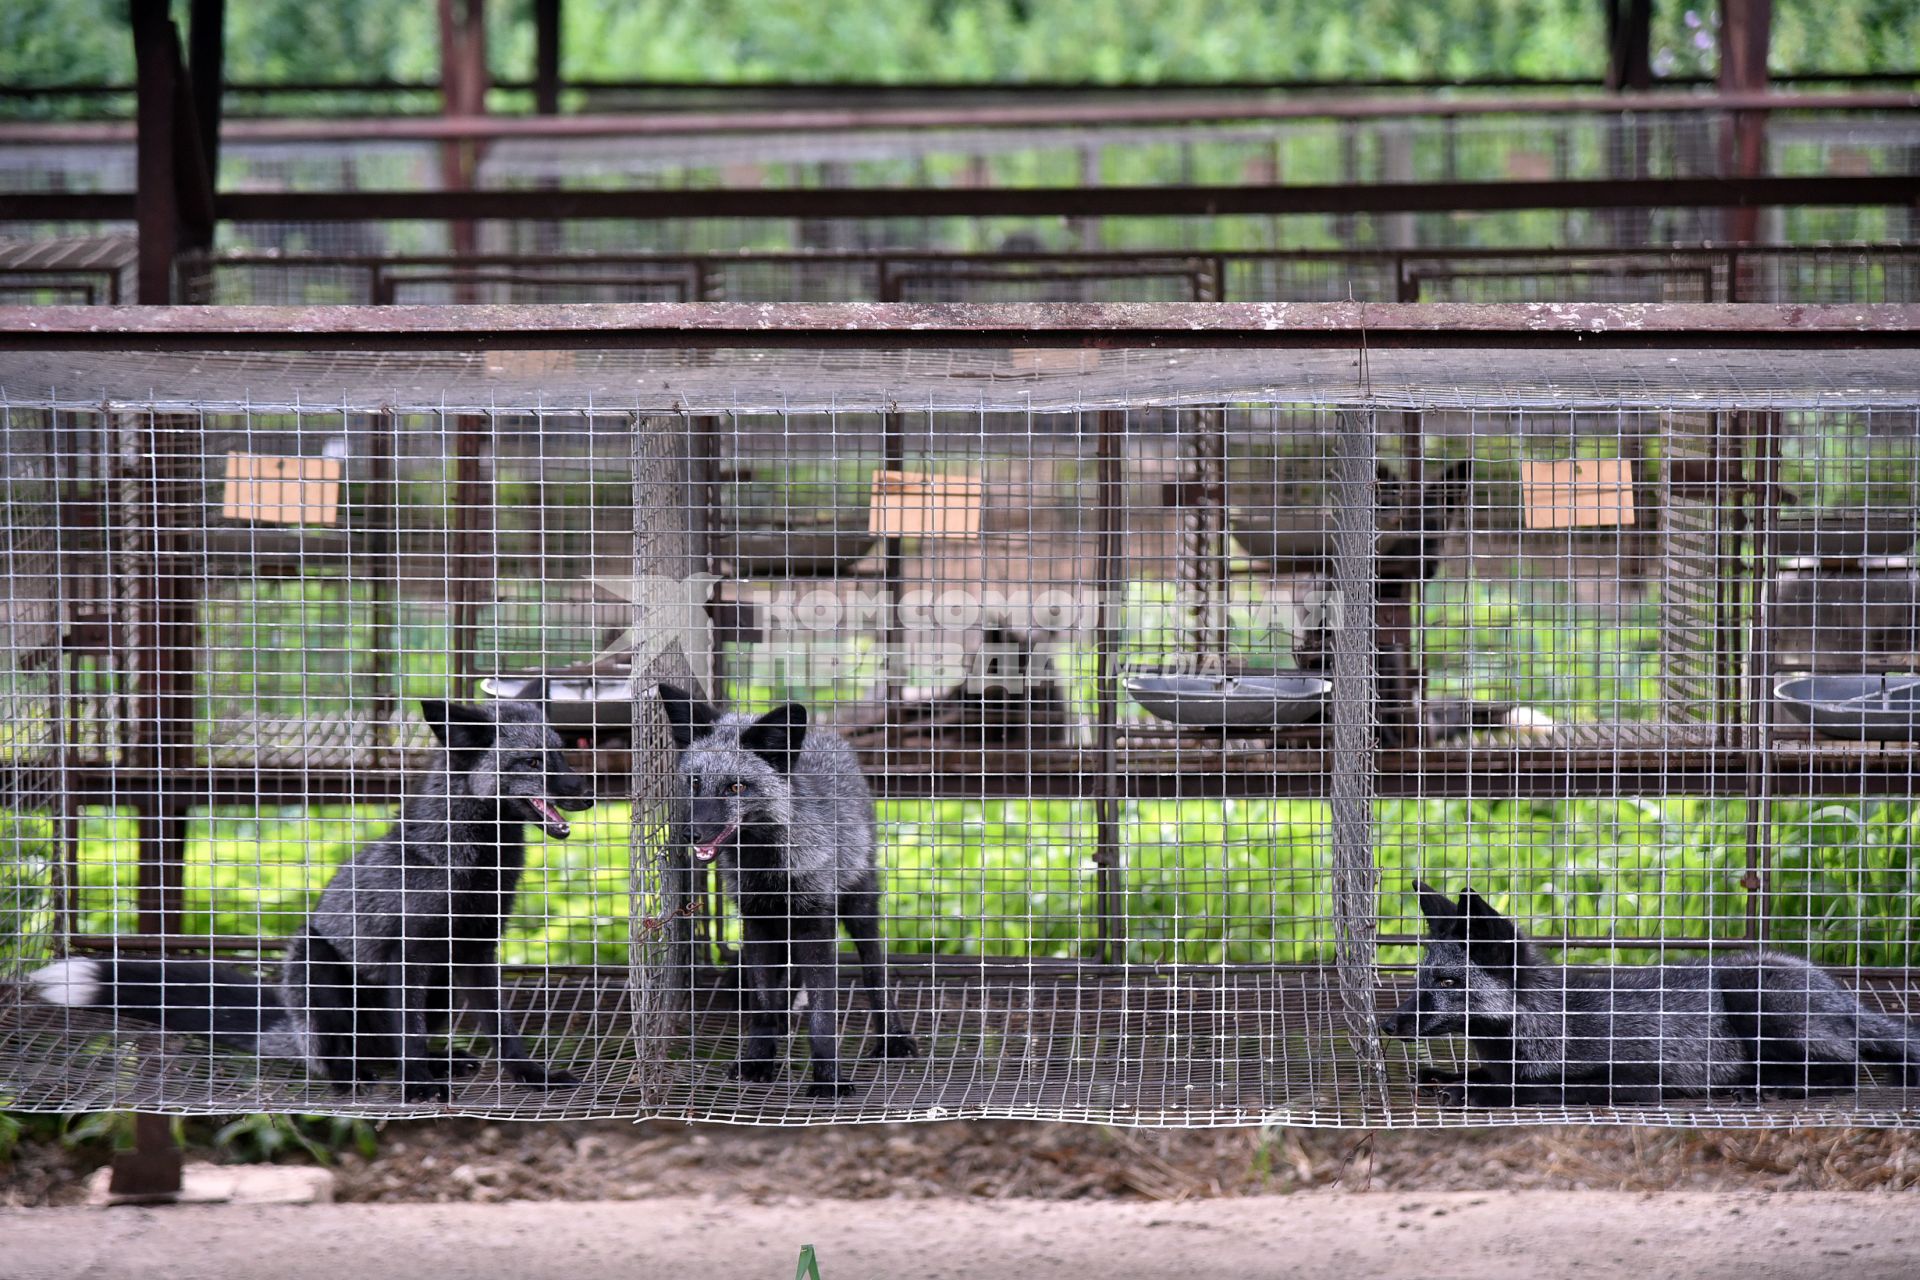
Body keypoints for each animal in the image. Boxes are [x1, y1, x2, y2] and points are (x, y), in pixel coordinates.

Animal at [26, 702, 587, 1105]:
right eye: (532, 762)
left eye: (562, 754)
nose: (589, 795)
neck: (472, 866)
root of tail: (291, 1030)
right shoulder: (407, 956)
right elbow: (408, 1035)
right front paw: (419, 1087)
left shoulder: (476, 950)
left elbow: (503, 1031)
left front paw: (531, 1075)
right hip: (316, 963)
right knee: (349, 1055)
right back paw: (354, 1077)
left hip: (441, 992)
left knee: (391, 1048)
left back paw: (439, 1062)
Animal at [656, 687, 917, 1097]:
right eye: (694, 782)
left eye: (736, 787)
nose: (689, 835)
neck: (768, 870)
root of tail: (825, 734)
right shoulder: (757, 922)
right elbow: (763, 1004)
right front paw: (758, 1058)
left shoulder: (816, 925)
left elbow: (822, 1016)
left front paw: (828, 1077)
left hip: (860, 906)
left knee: (876, 972)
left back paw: (893, 1036)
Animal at [1382, 886, 1920, 1105]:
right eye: (1421, 977)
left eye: (1448, 983)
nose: (1388, 1024)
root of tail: (1839, 990)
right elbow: (1482, 1072)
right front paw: (1444, 1074)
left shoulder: (1637, 1077)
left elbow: (1541, 1088)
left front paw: (1476, 1091)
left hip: (1753, 998)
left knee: (1845, 1071)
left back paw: (1761, 1085)